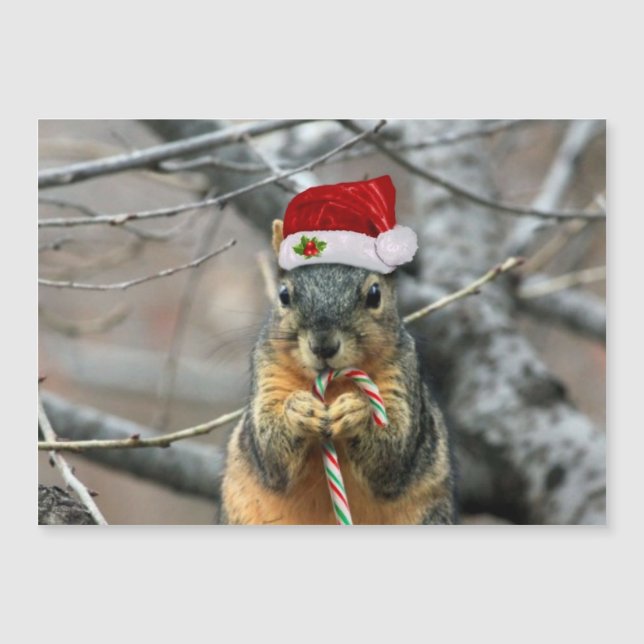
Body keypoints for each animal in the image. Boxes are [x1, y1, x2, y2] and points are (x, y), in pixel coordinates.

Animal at [219, 176, 456, 524]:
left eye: (375, 294)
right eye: (284, 295)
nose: (323, 346)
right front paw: (298, 410)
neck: (332, 387)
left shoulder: (402, 374)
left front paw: (356, 411)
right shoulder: (268, 373)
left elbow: (393, 455)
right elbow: (269, 453)